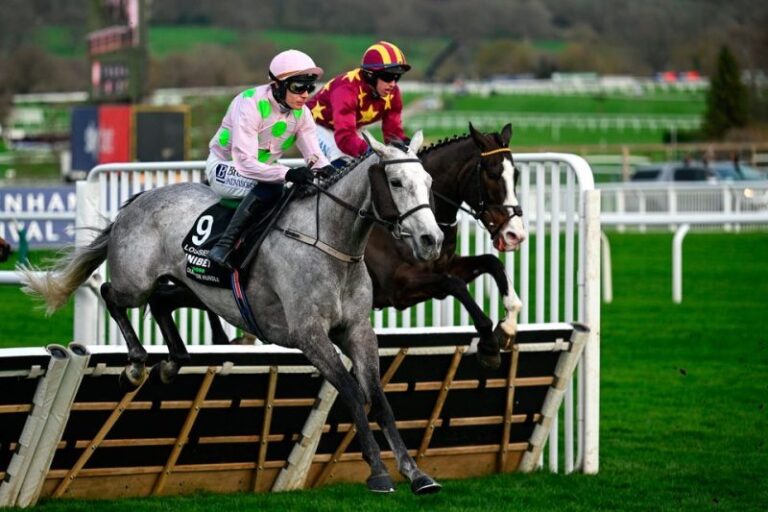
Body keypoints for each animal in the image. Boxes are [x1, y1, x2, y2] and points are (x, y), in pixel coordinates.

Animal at [19, 133, 446, 494]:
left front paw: (416, 473)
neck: (329, 243)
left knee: (162, 302)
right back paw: (137, 364)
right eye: (396, 182)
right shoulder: (309, 335)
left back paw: (172, 361)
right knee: (112, 294)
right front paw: (378, 473)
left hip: (196, 288)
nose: (432, 240)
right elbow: (353, 393)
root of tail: (136, 200)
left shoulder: (357, 329)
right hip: (135, 281)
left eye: (427, 179)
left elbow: (379, 398)